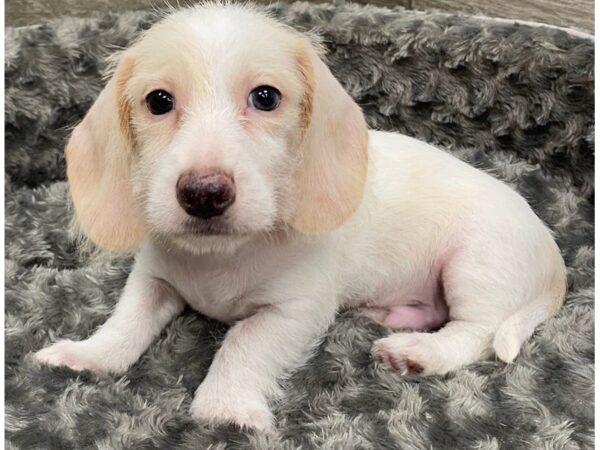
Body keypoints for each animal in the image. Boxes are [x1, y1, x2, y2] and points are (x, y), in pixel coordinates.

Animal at [34, 3, 568, 432]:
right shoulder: (153, 279)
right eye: (159, 101)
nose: (203, 194)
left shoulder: (294, 311)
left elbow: (244, 344)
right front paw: (87, 355)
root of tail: (554, 256)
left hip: (475, 263)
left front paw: (226, 408)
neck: (224, 254)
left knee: (476, 332)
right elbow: (125, 321)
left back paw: (418, 352)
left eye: (266, 97)